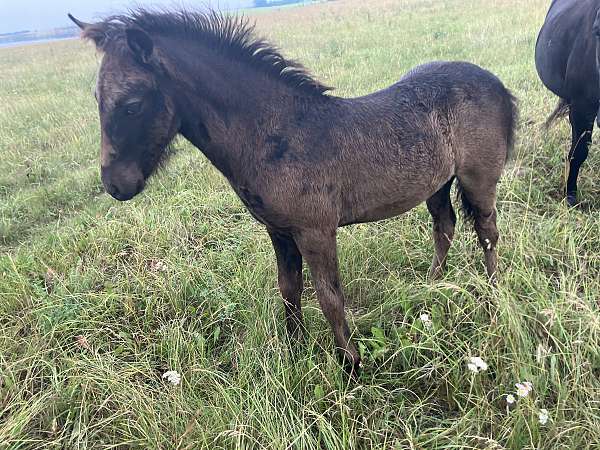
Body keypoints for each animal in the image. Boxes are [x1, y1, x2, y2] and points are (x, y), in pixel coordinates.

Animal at [67, 9, 516, 372]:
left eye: (132, 103)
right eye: (96, 97)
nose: (115, 184)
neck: (274, 134)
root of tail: (495, 82)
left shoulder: (316, 231)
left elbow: (329, 296)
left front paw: (350, 365)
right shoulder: (279, 231)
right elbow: (289, 289)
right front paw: (295, 350)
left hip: (477, 178)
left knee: (487, 233)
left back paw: (494, 299)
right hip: (437, 182)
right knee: (445, 225)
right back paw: (431, 285)